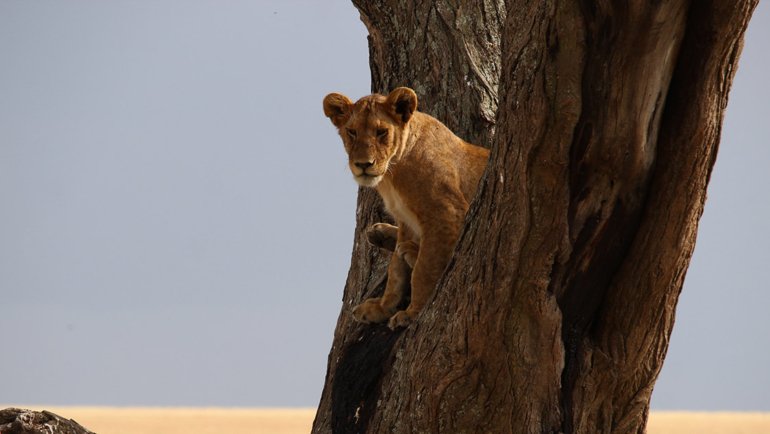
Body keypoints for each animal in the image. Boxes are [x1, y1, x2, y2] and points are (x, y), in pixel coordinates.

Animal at [320, 86, 488, 328]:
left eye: (381, 132)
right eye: (352, 132)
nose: (363, 164)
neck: (392, 173)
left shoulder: (446, 212)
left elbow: (424, 270)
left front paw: (413, 312)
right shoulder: (404, 218)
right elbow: (396, 271)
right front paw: (381, 308)